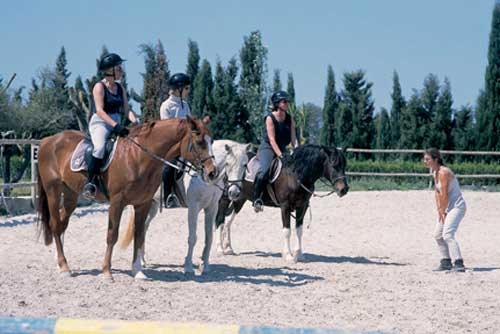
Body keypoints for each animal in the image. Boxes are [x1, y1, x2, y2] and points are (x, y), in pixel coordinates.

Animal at [35, 116, 215, 280]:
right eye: (199, 142)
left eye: (211, 141)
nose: (212, 172)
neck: (138, 157)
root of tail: (48, 140)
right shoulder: (117, 202)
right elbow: (112, 234)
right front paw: (106, 271)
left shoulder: (143, 204)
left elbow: (139, 234)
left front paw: (138, 271)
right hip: (53, 191)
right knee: (55, 224)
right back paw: (64, 267)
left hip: (71, 195)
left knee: (62, 223)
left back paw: (61, 263)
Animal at [215, 145, 348, 262]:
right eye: (334, 164)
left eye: (344, 165)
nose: (344, 189)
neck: (296, 175)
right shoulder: (285, 207)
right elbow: (287, 231)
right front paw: (288, 255)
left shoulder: (302, 207)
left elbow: (299, 230)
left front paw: (299, 255)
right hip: (226, 196)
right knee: (220, 219)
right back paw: (220, 249)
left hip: (239, 198)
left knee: (228, 220)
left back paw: (228, 248)